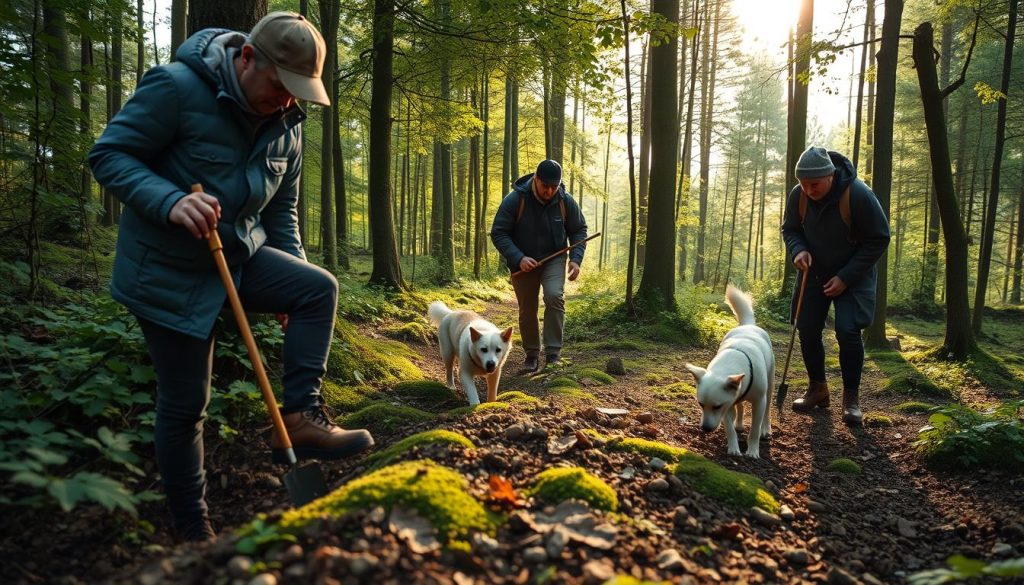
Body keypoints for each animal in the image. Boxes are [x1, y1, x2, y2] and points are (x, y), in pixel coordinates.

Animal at [684, 286, 770, 461]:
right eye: (700, 404)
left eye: (716, 406)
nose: (705, 428)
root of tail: (747, 324)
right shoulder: (728, 404)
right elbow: (729, 429)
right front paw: (734, 448)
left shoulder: (758, 401)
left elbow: (754, 429)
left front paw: (753, 450)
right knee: (741, 406)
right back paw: (739, 424)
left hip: (770, 384)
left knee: (768, 409)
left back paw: (766, 428)